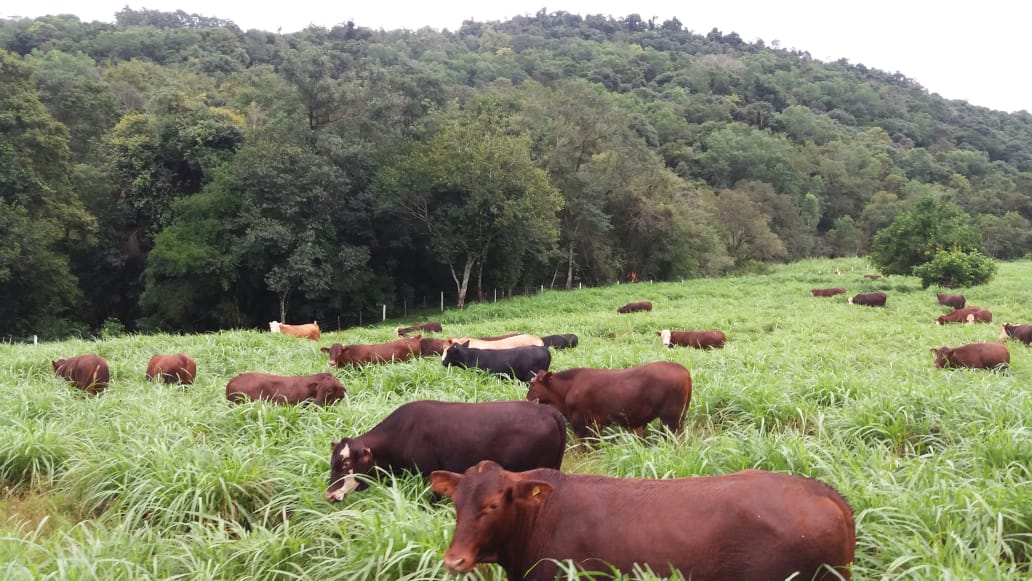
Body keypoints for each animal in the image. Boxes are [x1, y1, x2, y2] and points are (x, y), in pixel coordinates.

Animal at [524, 361, 693, 439]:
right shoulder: (596, 424)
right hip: (680, 418)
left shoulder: (580, 422)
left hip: (670, 420)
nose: (526, 400)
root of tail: (683, 370)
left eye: (532, 385)